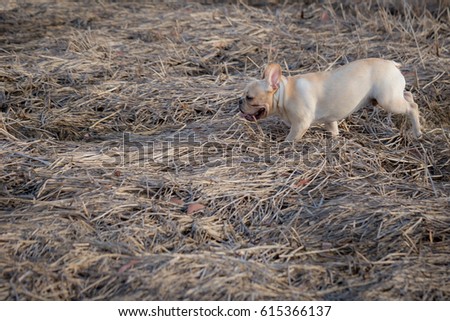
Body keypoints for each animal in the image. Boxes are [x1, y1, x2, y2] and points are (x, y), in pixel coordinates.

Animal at [239, 58, 422, 141]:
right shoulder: (330, 121)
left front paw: (284, 145)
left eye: (249, 97)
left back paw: (417, 133)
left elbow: (290, 139)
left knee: (412, 106)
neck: (285, 93)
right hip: (393, 96)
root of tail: (392, 64)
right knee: (408, 96)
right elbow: (334, 130)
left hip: (388, 101)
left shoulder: (300, 125)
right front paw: (335, 140)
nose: (239, 102)